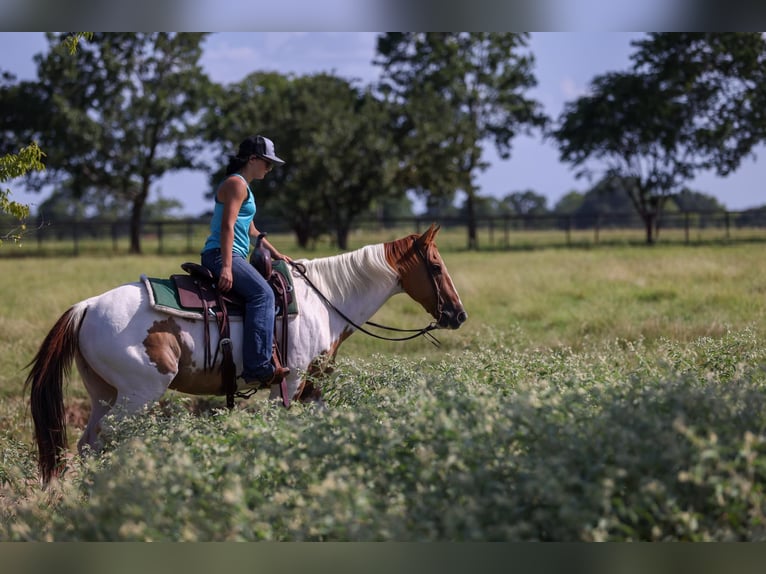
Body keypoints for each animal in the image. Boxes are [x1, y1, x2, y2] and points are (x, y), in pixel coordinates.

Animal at [25, 223, 467, 484]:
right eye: (435, 265)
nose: (458, 314)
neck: (325, 299)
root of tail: (85, 307)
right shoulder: (289, 380)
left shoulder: (311, 386)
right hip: (138, 395)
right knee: (107, 439)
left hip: (104, 394)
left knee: (88, 444)